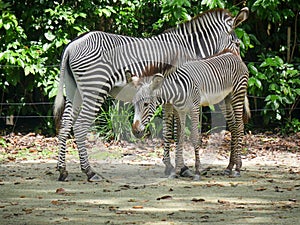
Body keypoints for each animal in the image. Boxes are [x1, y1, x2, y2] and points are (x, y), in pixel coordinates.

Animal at [132, 50, 251, 180]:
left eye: (146, 104)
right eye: (134, 104)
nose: (134, 130)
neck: (177, 91)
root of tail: (233, 54)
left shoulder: (194, 108)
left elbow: (194, 137)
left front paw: (197, 171)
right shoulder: (180, 110)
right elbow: (179, 136)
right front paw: (177, 171)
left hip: (237, 94)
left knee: (239, 126)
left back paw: (237, 168)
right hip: (225, 99)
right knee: (233, 127)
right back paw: (229, 167)